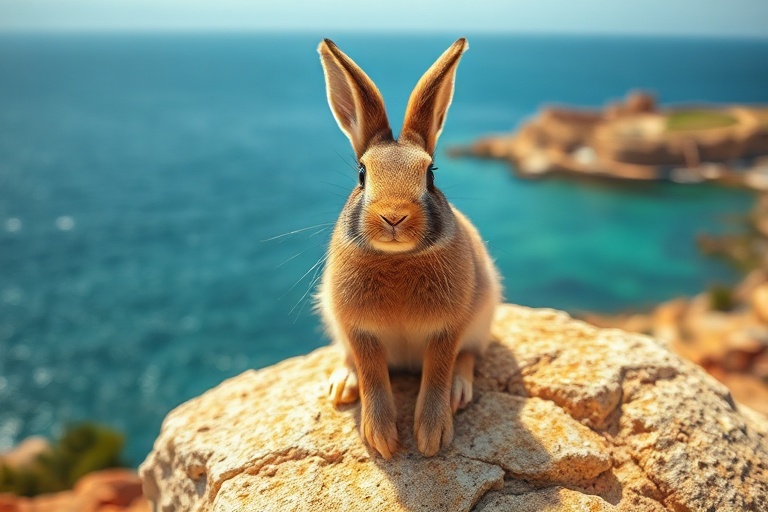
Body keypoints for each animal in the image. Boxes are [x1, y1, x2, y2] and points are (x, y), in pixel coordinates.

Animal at [316, 38, 501, 459]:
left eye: (430, 174)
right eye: (362, 174)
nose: (394, 217)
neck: (397, 259)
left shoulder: (448, 328)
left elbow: (438, 371)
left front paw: (432, 437)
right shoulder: (358, 329)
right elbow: (371, 373)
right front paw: (382, 440)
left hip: (481, 318)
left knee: (468, 356)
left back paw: (459, 391)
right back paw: (343, 384)